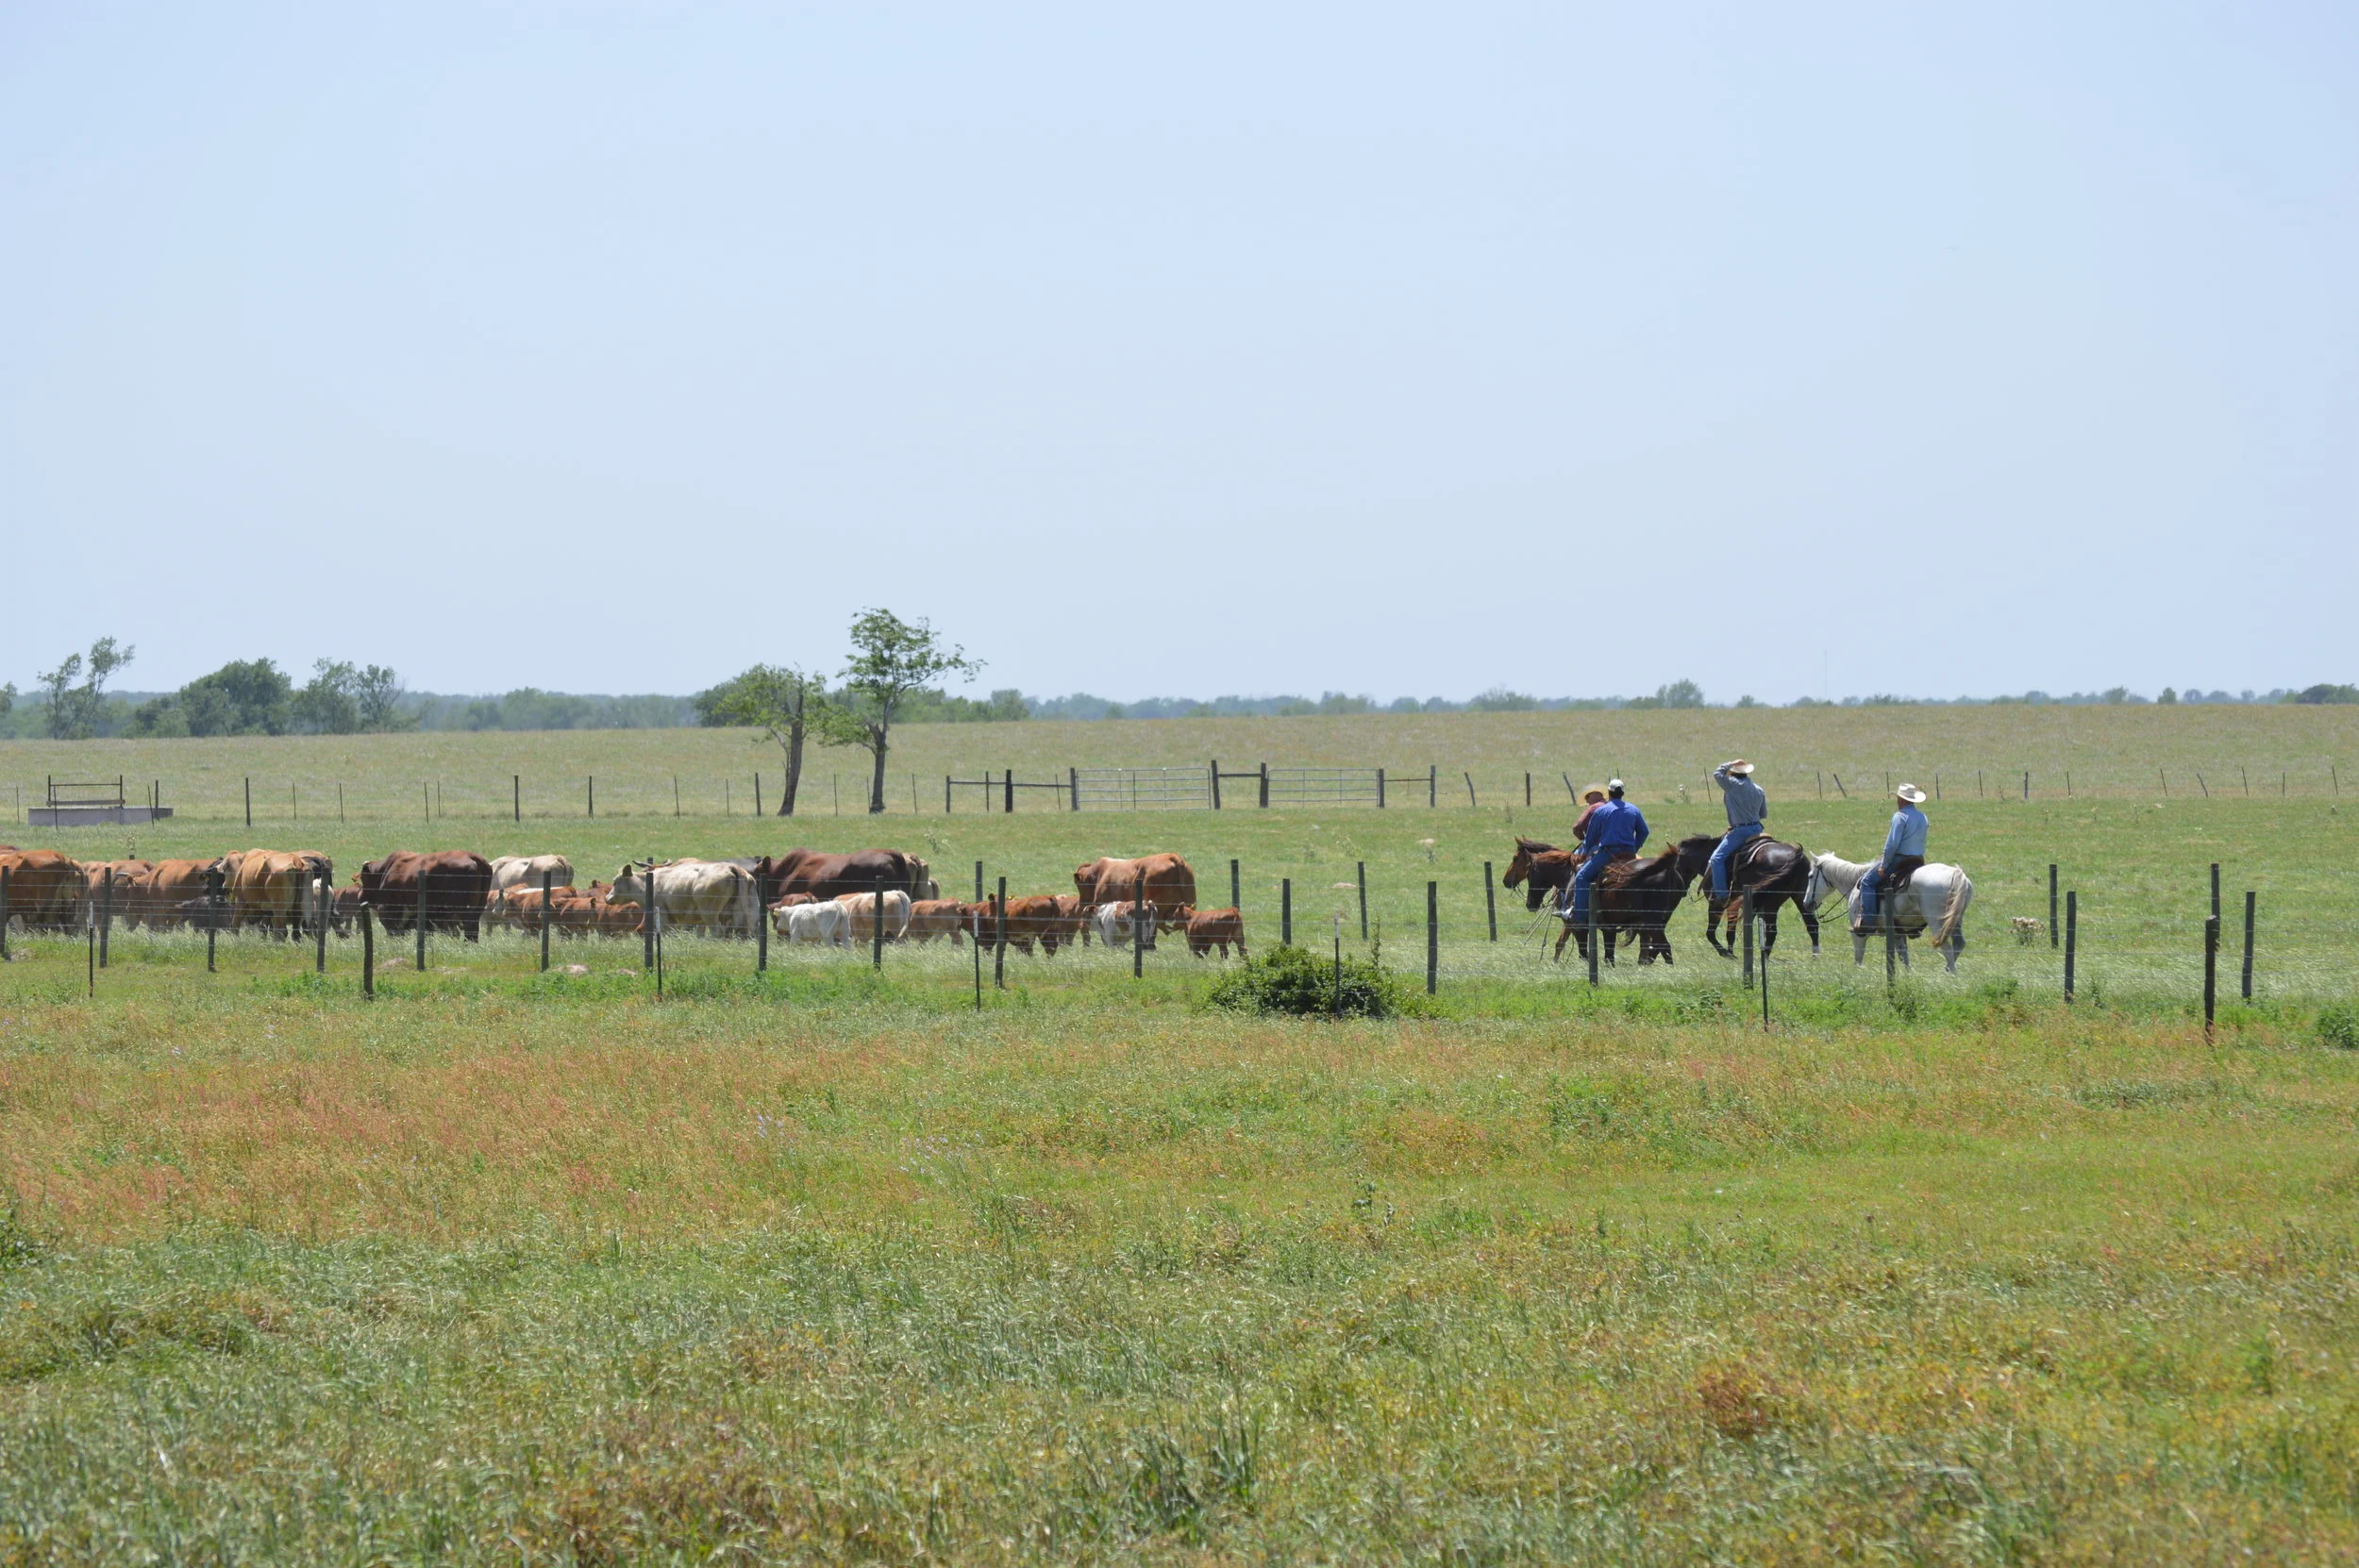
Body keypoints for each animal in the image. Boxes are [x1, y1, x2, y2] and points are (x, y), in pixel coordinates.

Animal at [358, 851, 496, 939]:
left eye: (363, 879)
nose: (360, 896)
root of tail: (472, 857)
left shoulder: (390, 911)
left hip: (465, 911)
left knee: (470, 929)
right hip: (477, 909)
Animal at [610, 861, 756, 938]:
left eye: (615, 882)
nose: (607, 898)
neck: (648, 883)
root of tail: (731, 867)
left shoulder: (663, 915)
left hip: (710, 915)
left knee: (717, 932)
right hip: (743, 915)